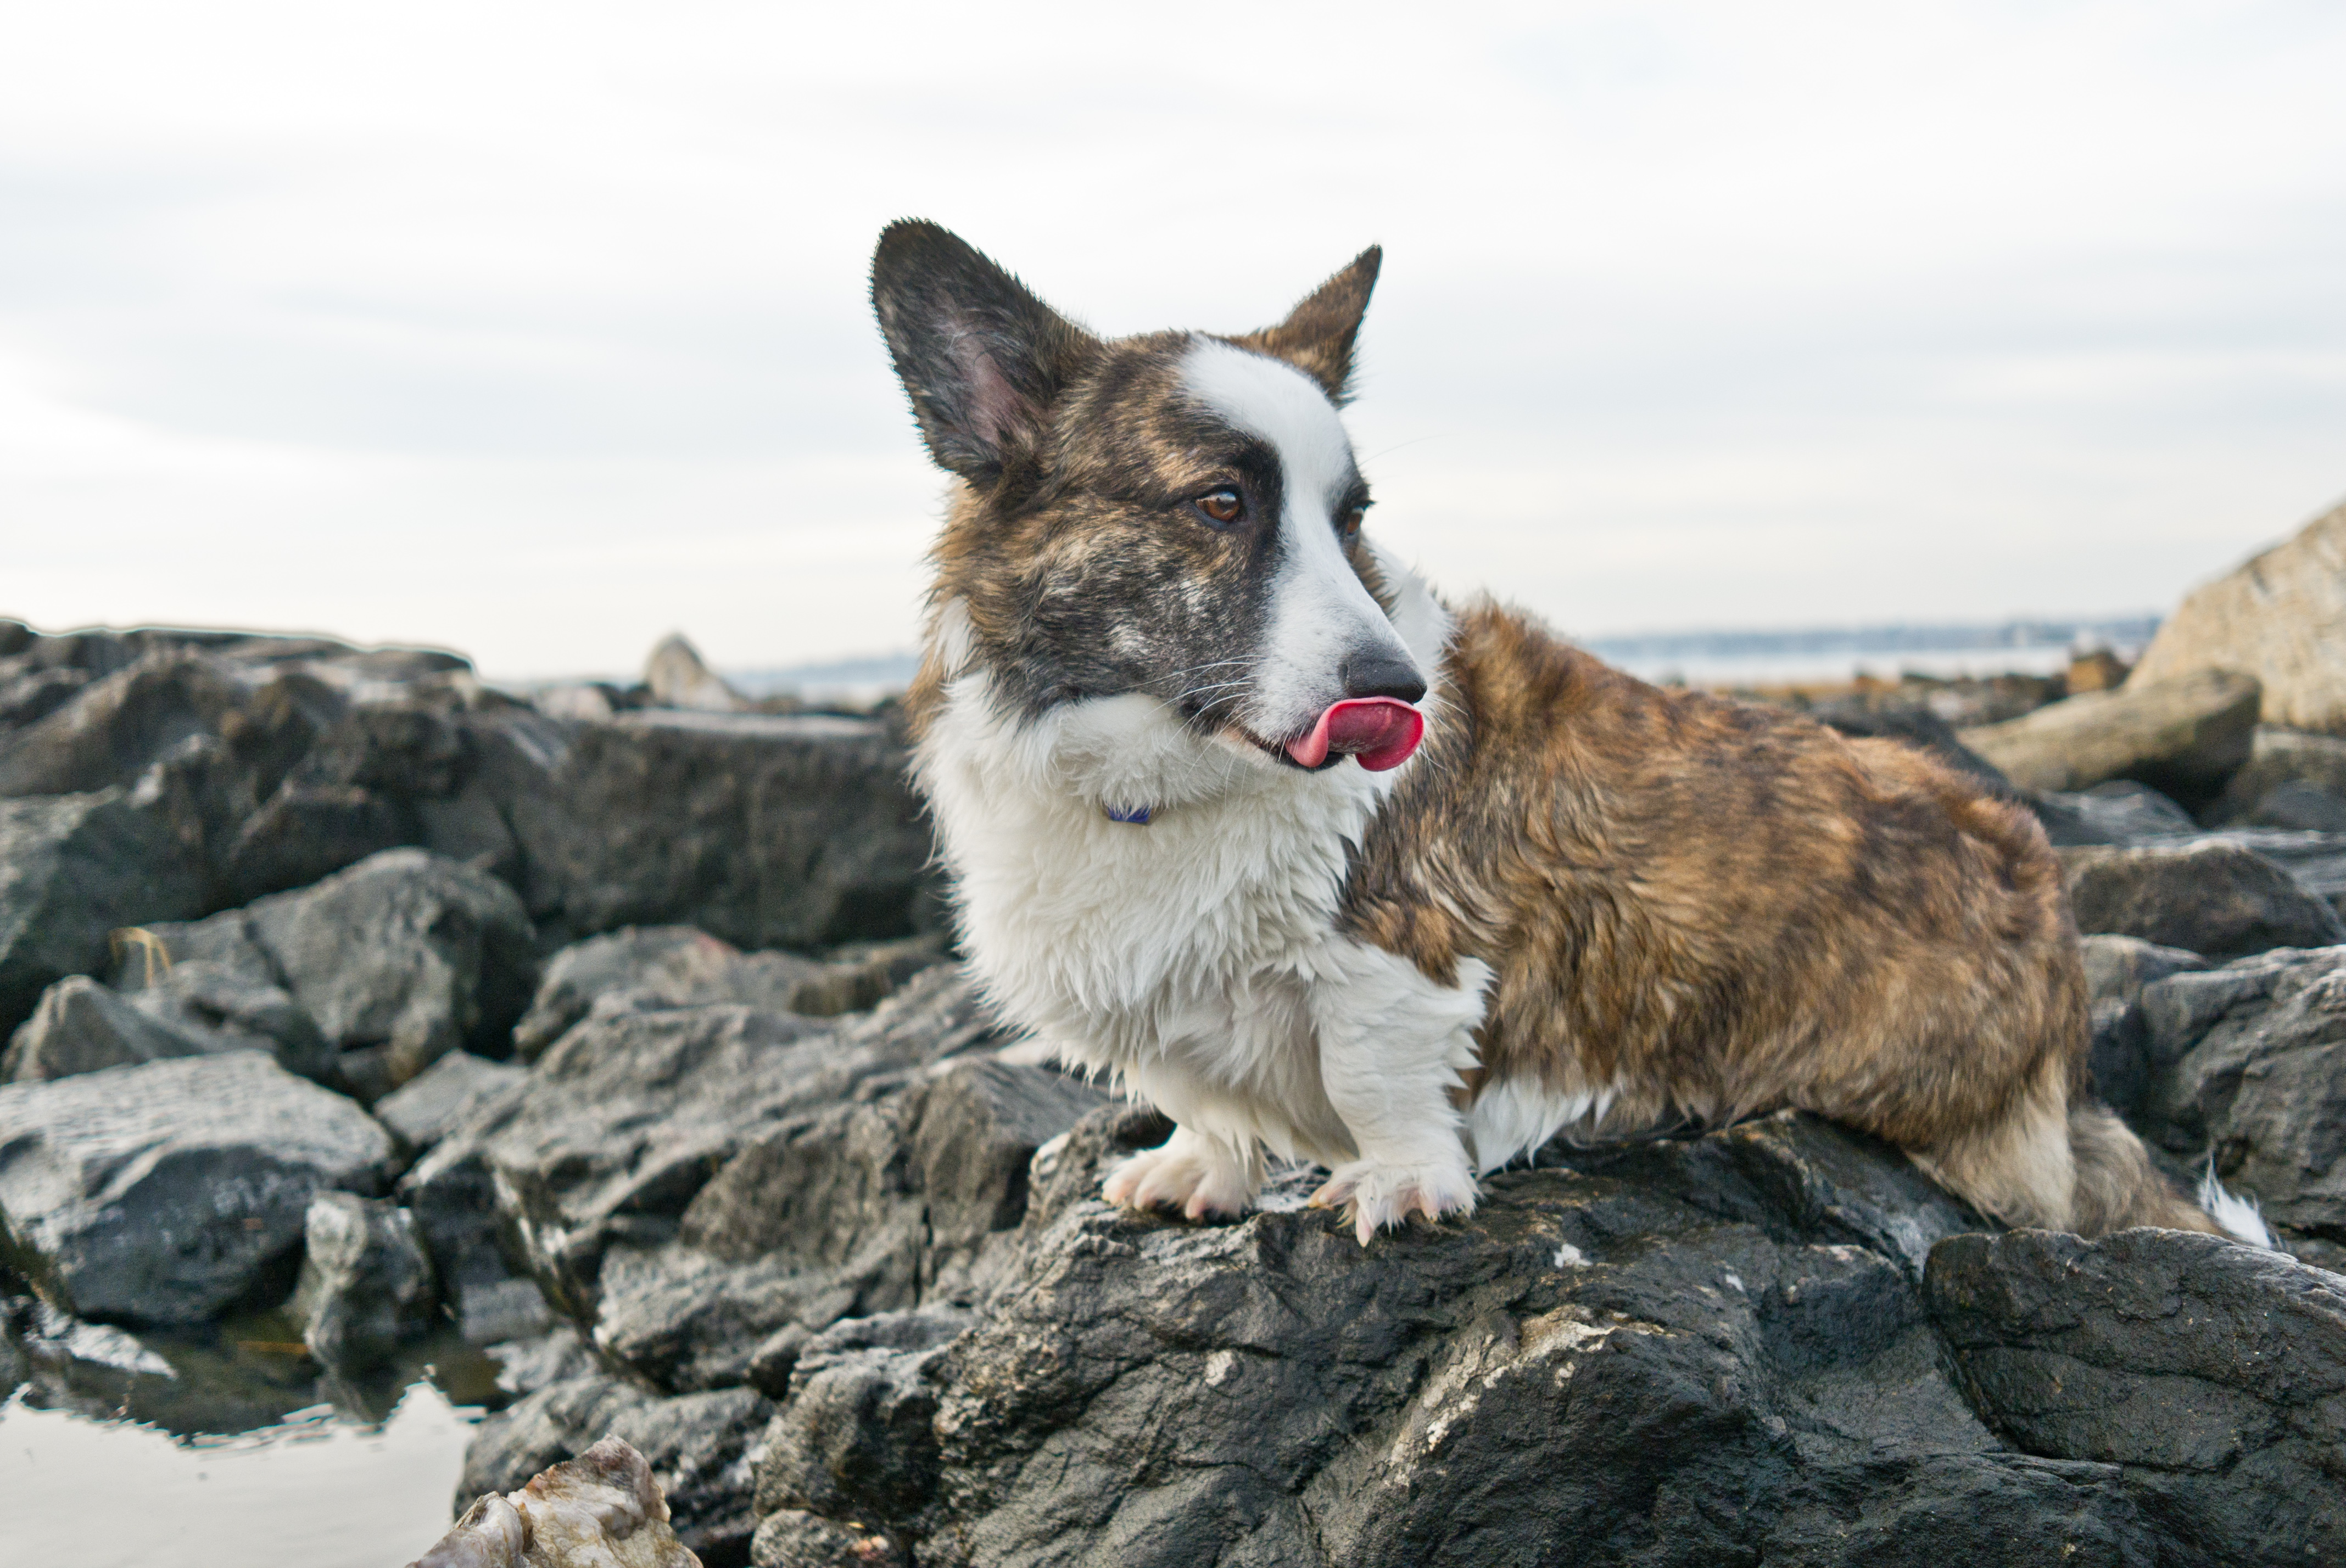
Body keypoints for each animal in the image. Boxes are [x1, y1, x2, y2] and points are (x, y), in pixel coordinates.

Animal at [868, 222, 2271, 1247]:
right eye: (1220, 504)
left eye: (1350, 513)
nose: (1398, 694)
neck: (1165, 773)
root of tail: (2051, 920)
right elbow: (1193, 1094)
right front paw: (1196, 1166)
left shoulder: (1408, 961)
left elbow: (1378, 1077)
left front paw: (1397, 1187)